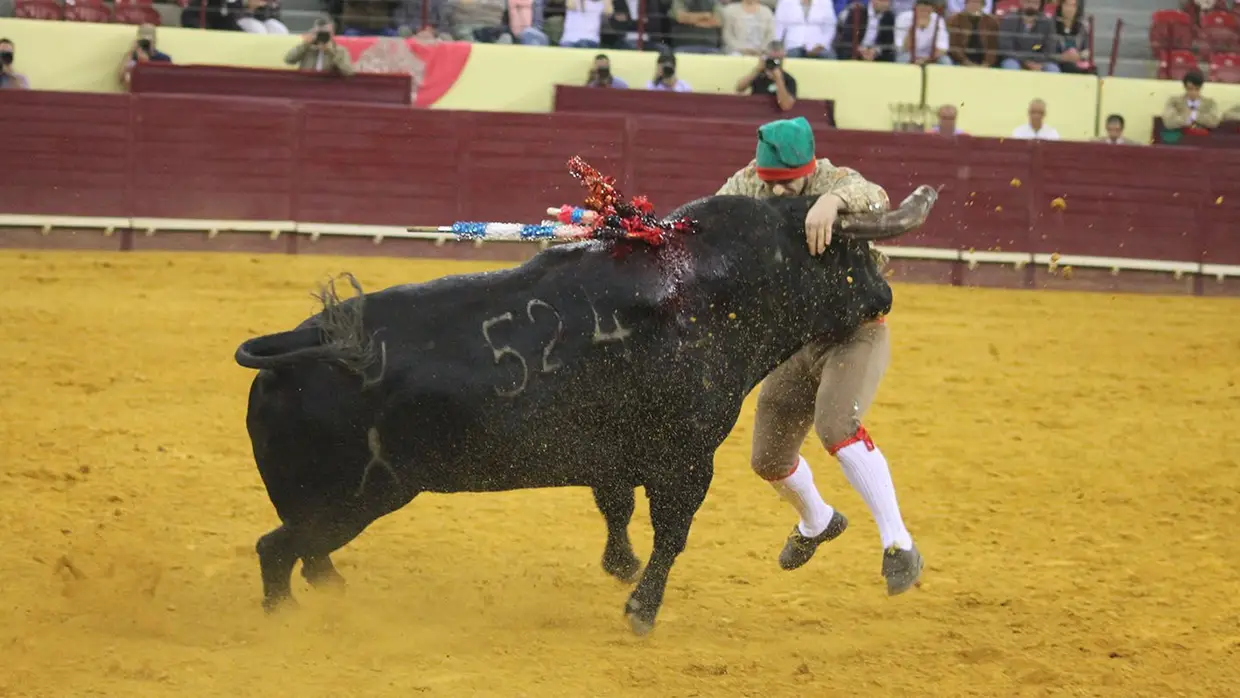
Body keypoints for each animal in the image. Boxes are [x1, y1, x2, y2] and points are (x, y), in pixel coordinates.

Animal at [233, 188, 932, 634]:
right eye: (850, 256)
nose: (885, 295)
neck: (718, 287)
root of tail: (297, 345)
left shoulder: (618, 455)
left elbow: (615, 506)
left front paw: (620, 570)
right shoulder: (687, 459)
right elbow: (672, 534)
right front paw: (642, 611)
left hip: (333, 503)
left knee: (305, 554)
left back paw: (330, 599)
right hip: (349, 499)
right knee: (277, 550)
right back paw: (284, 621)